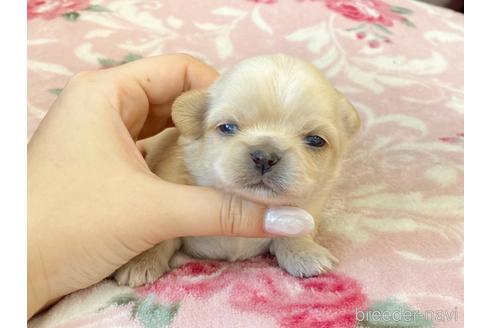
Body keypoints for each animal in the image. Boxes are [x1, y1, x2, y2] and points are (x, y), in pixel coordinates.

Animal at [113, 54, 360, 288]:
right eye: (227, 127)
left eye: (316, 140)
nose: (264, 156)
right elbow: (162, 237)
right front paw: (141, 262)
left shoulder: (309, 207)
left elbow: (296, 228)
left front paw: (304, 252)